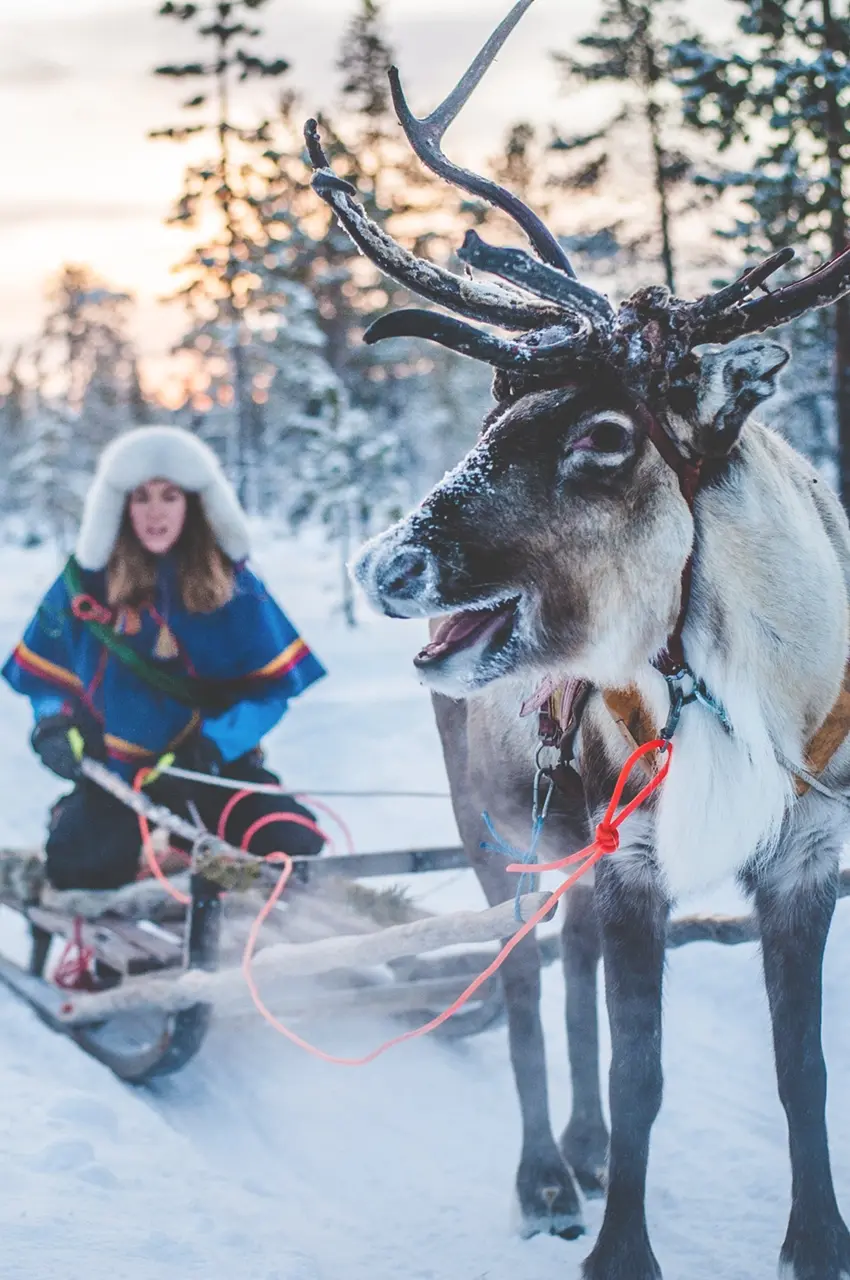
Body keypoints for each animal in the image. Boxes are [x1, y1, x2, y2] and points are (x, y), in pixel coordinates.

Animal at [306, 2, 850, 1276]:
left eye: (606, 434)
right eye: (493, 411)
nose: (386, 565)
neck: (754, 695)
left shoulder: (804, 858)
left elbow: (800, 1072)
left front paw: (816, 1240)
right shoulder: (632, 857)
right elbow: (643, 1069)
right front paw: (618, 1251)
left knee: (570, 975)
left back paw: (585, 1151)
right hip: (493, 830)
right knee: (518, 992)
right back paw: (546, 1174)